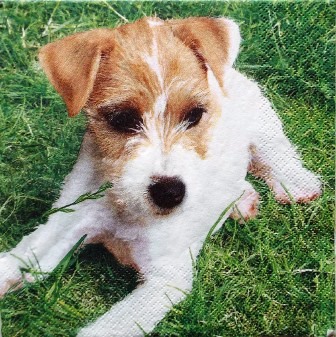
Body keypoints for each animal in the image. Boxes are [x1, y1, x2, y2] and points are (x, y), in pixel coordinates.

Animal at [0, 16, 320, 336]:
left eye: (194, 114)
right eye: (122, 119)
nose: (170, 193)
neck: (122, 206)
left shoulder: (166, 277)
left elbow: (108, 327)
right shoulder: (65, 223)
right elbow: (23, 257)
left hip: (262, 123)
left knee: (276, 152)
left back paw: (297, 185)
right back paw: (243, 201)